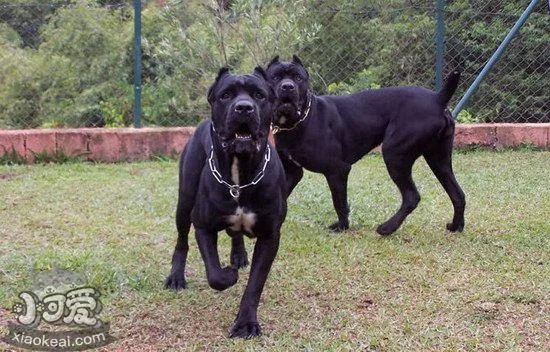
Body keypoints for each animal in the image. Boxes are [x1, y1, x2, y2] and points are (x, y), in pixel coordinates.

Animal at [165, 66, 288, 338]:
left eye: (259, 95)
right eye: (226, 95)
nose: (243, 108)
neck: (239, 176)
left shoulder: (270, 235)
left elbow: (255, 284)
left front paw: (246, 323)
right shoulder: (203, 226)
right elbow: (214, 274)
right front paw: (228, 275)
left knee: (235, 234)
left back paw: (239, 256)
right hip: (184, 201)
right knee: (181, 241)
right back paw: (176, 277)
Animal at [266, 55, 466, 235]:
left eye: (298, 78)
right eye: (275, 77)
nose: (287, 86)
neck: (299, 121)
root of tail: (438, 99)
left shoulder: (337, 170)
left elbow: (339, 202)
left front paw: (342, 227)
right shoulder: (293, 171)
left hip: (394, 154)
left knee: (411, 196)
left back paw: (387, 228)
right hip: (438, 159)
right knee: (457, 194)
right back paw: (456, 226)